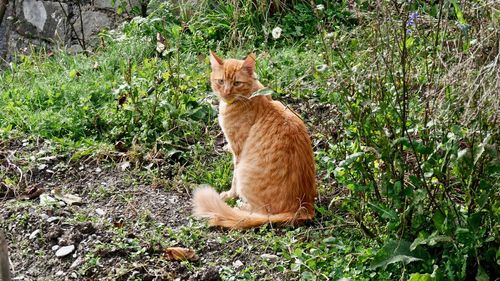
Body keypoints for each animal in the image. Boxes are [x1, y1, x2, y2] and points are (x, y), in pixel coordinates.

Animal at [192, 52, 316, 228]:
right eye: (221, 81)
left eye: (237, 83)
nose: (226, 92)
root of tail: (302, 208)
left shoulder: (237, 151)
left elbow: (234, 179)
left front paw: (230, 195)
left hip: (245, 171)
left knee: (259, 213)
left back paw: (240, 207)